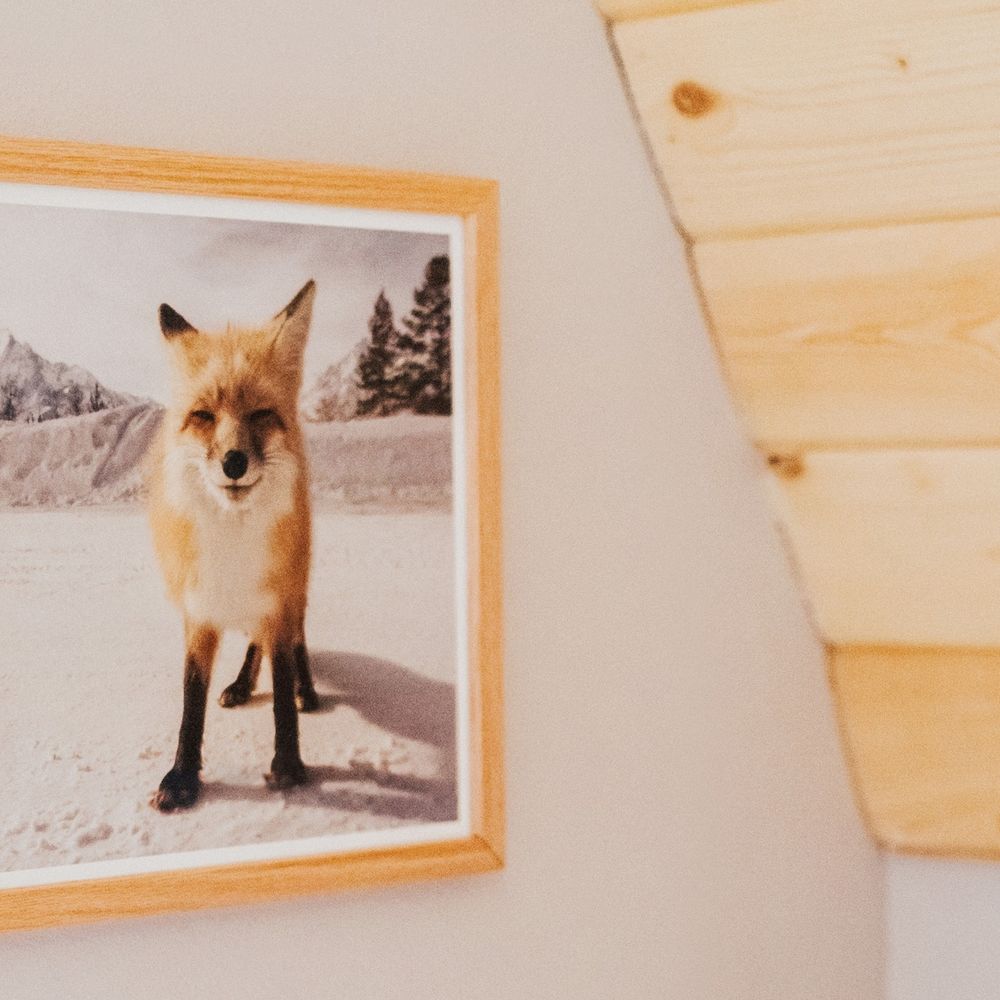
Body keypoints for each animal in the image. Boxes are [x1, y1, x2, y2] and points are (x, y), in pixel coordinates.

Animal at [147, 280, 320, 812]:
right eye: (203, 416)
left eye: (261, 414)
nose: (234, 462)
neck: (233, 543)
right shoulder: (199, 608)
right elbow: (191, 699)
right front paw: (182, 777)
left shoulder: (277, 598)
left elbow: (282, 688)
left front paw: (289, 766)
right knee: (254, 646)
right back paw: (243, 685)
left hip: (296, 588)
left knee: (297, 643)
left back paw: (308, 691)